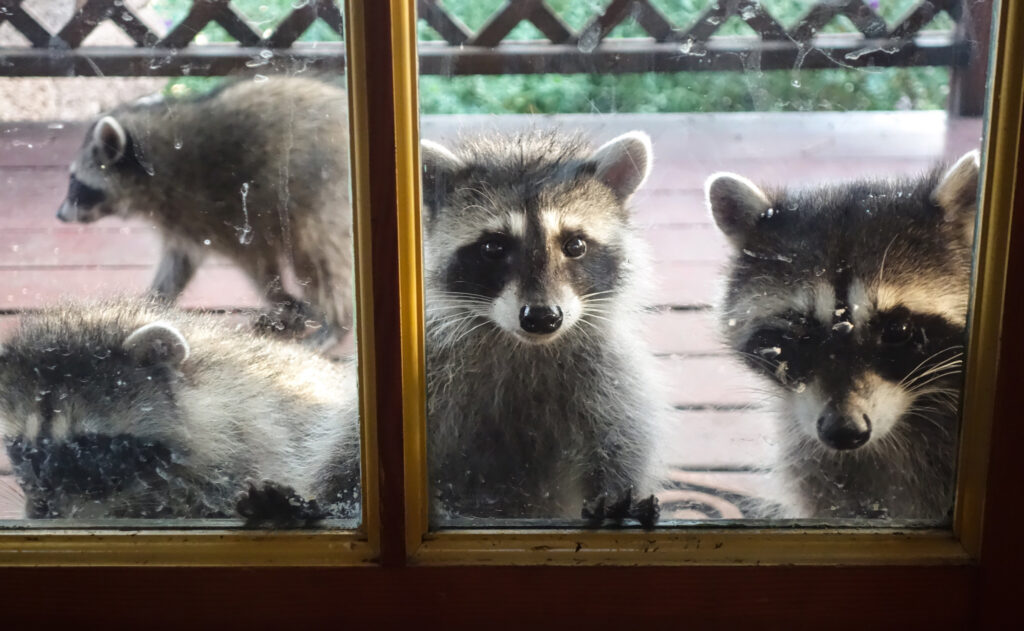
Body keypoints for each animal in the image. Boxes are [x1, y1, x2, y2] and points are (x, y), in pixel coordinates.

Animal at [59, 76, 358, 348]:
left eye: (75, 182)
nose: (59, 215)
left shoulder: (223, 210)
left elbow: (258, 263)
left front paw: (281, 298)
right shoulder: (183, 220)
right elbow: (179, 262)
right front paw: (155, 300)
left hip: (325, 198)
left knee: (321, 258)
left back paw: (335, 323)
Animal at [421, 129, 667, 528]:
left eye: (575, 244)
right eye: (493, 247)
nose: (542, 318)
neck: (526, 346)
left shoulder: (612, 378)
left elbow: (623, 443)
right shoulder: (434, 370)